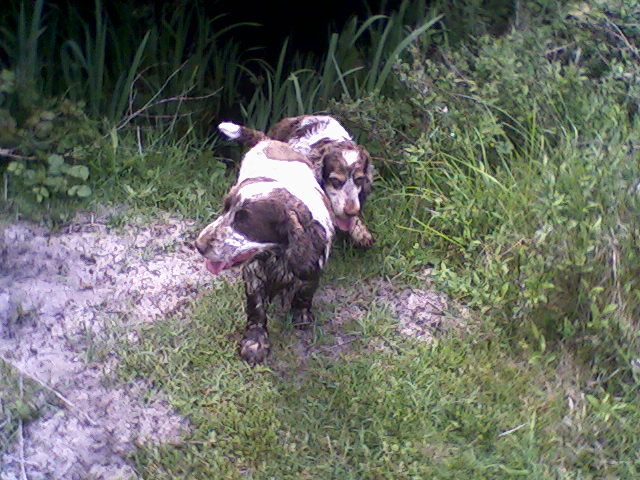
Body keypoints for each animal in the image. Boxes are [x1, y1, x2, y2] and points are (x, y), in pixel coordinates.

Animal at [195, 124, 336, 364]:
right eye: (225, 209)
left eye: (243, 221)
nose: (198, 245)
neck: (276, 255)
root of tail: (267, 140)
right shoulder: (253, 274)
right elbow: (257, 309)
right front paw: (255, 342)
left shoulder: (313, 268)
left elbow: (304, 294)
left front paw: (301, 315)